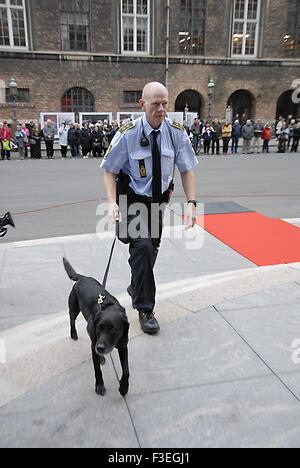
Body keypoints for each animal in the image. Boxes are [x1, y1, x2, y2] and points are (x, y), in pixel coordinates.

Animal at [62, 258, 129, 396]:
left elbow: (126, 370)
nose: (101, 348)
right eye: (99, 328)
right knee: (72, 320)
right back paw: (74, 334)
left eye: (113, 329)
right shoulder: (94, 342)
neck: (109, 307)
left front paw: (124, 387)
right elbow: (97, 369)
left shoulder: (123, 345)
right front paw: (99, 386)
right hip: (74, 308)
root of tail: (83, 277)